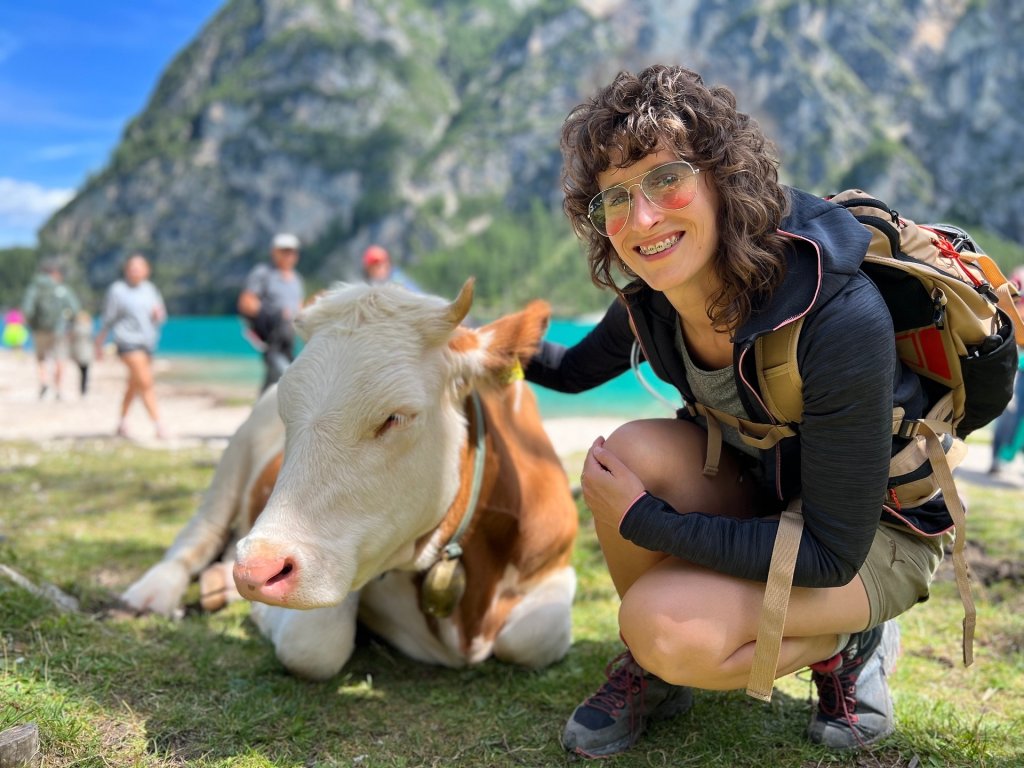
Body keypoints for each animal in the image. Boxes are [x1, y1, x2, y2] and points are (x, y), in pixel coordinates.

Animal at [121, 282, 577, 679]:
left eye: (394, 417)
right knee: (196, 536)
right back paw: (151, 593)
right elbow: (313, 645)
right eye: (288, 411)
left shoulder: (556, 565)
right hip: (233, 460)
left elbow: (530, 638)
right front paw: (263, 614)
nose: (256, 569)